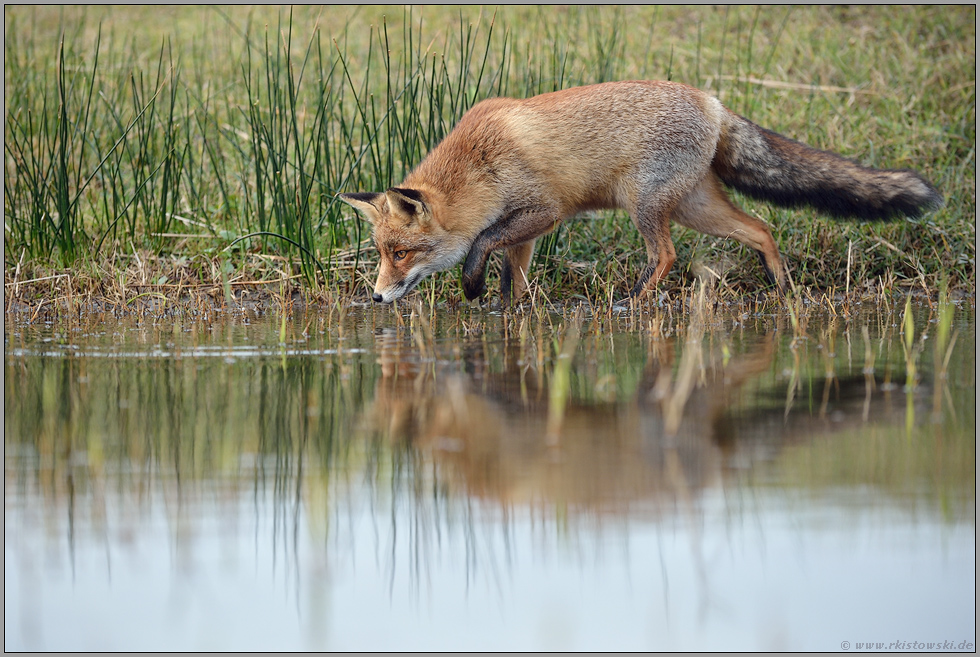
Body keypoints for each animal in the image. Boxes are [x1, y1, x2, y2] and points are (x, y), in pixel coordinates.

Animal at [338, 79, 940, 302]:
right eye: (383, 254)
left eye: (400, 254)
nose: (376, 296)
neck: (480, 166)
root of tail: (712, 101)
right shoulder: (525, 230)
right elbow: (515, 273)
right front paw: (508, 309)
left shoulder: (545, 210)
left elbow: (484, 243)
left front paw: (472, 285)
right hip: (696, 207)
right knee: (761, 228)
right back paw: (782, 286)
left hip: (645, 205)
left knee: (667, 255)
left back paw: (633, 301)